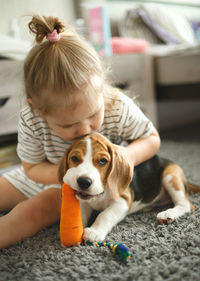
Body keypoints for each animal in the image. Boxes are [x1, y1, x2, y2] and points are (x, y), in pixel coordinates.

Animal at [57, 132, 198, 242]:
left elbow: (104, 215)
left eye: (103, 161)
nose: (84, 182)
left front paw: (94, 232)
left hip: (170, 175)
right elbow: (80, 215)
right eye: (74, 158)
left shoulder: (122, 201)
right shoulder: (83, 202)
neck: (100, 194)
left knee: (186, 205)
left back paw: (168, 214)